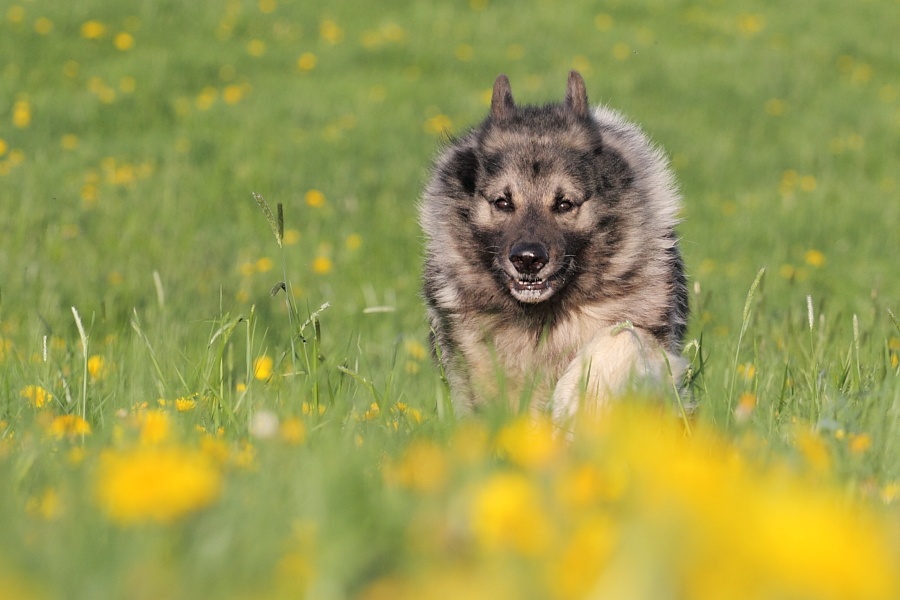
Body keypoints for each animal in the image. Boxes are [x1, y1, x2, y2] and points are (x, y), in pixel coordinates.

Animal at [422, 72, 688, 424]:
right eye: (503, 202)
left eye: (564, 204)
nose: (527, 260)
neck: (543, 315)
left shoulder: (650, 337)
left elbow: (622, 338)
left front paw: (578, 399)